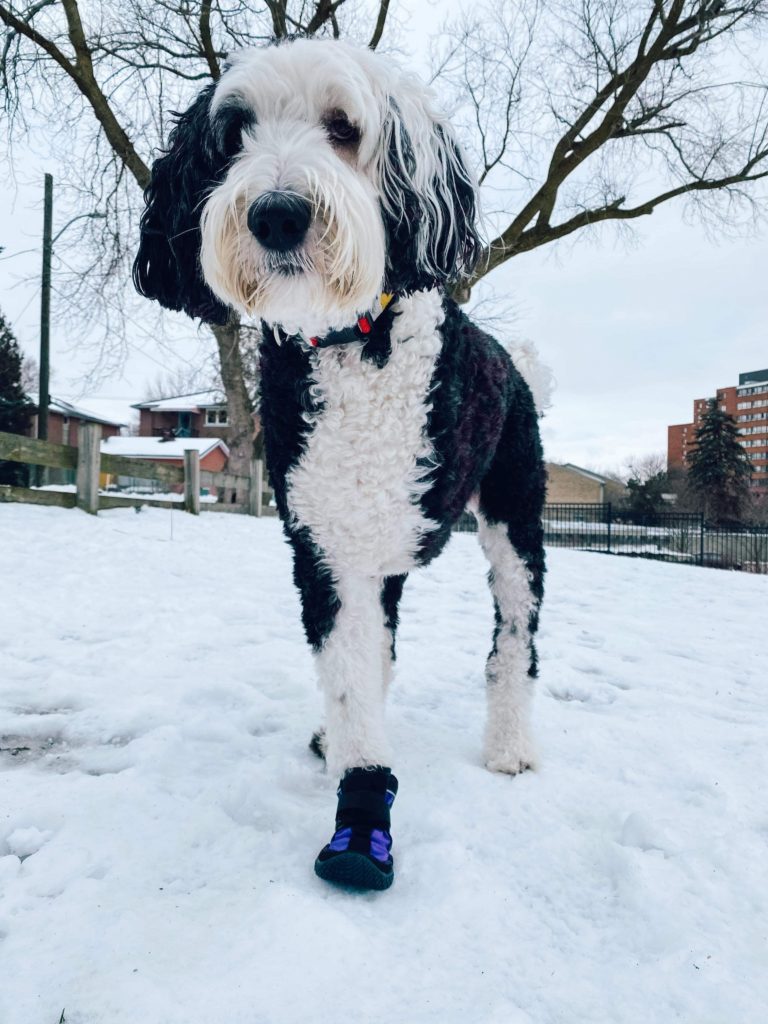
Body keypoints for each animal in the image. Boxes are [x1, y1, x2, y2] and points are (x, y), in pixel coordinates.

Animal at [137, 37, 548, 888]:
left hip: (515, 520)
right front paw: (355, 779)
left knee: (515, 638)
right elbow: (353, 674)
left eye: (342, 127)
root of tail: (517, 364)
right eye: (233, 134)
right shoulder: (327, 547)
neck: (353, 343)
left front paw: (363, 816)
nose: (277, 213)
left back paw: (510, 745)